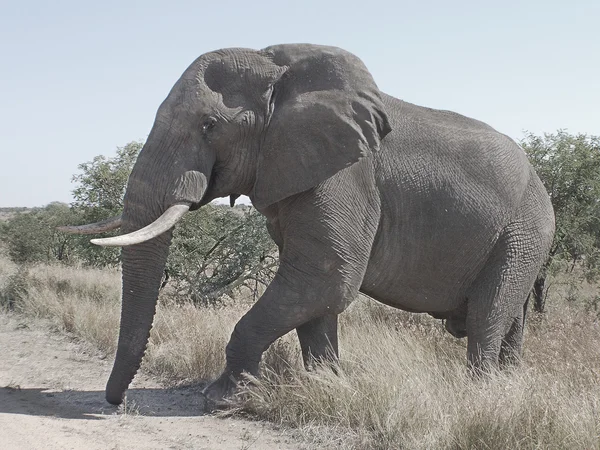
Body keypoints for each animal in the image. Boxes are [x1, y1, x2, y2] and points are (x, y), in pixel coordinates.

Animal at [61, 44, 552, 406]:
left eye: (209, 125)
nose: (116, 403)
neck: (279, 73)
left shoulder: (345, 177)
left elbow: (325, 275)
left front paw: (223, 399)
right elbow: (314, 294)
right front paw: (327, 387)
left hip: (524, 233)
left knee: (488, 315)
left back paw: (483, 396)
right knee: (510, 319)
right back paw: (509, 386)